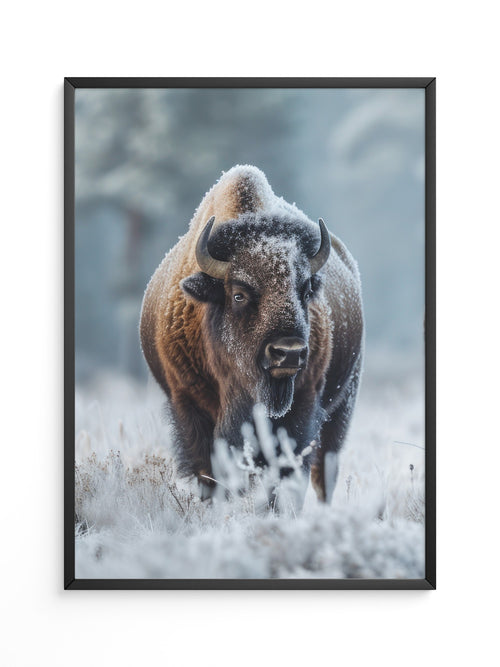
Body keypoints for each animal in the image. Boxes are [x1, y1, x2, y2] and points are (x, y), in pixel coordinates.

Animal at [140, 165, 364, 503]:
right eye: (239, 294)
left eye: (305, 290)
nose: (289, 352)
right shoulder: (190, 406)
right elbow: (210, 473)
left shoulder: (303, 406)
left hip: (342, 406)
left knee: (323, 474)